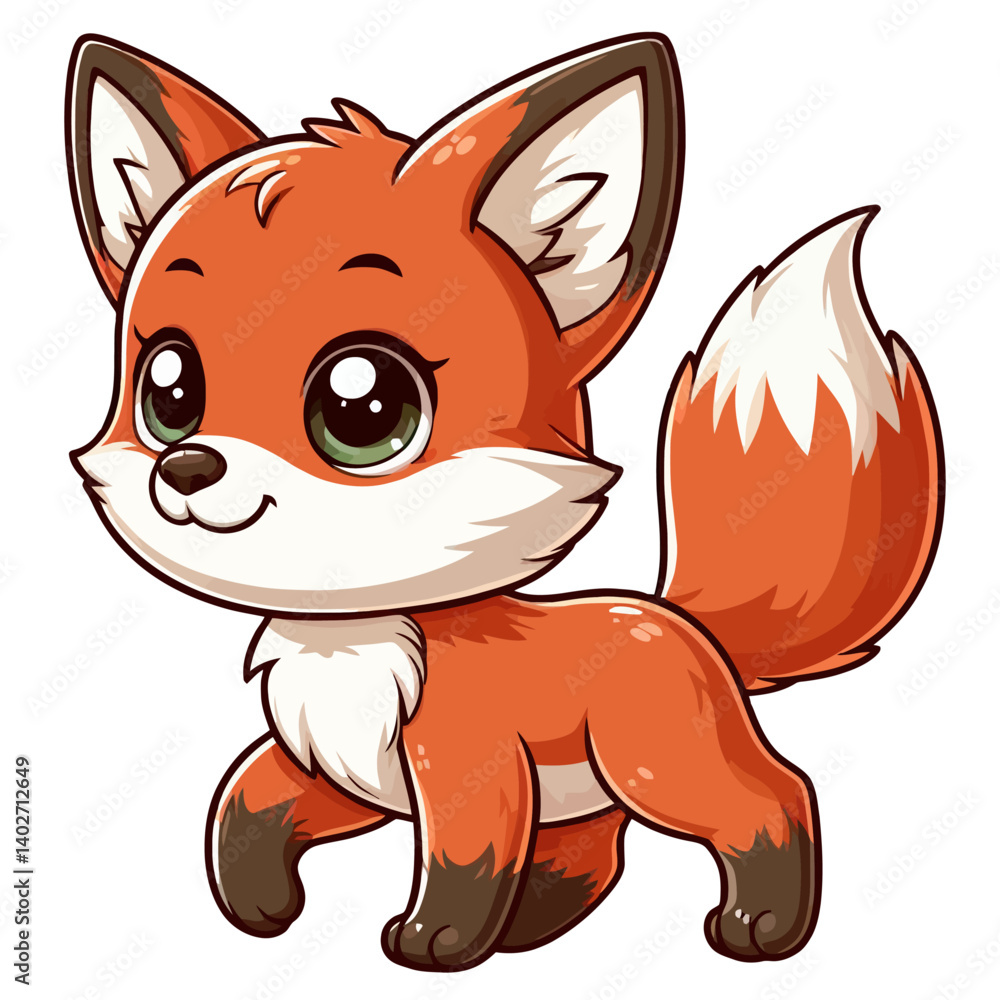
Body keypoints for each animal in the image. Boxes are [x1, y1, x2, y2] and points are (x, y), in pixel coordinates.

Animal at [65, 32, 943, 971]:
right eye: (168, 389)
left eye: (363, 406)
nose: (188, 467)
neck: (350, 644)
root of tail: (678, 620)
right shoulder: (335, 766)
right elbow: (246, 804)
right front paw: (255, 902)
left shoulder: (467, 771)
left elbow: (464, 858)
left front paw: (439, 942)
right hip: (596, 792)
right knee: (598, 851)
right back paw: (538, 922)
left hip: (654, 766)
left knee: (771, 797)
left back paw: (762, 924)